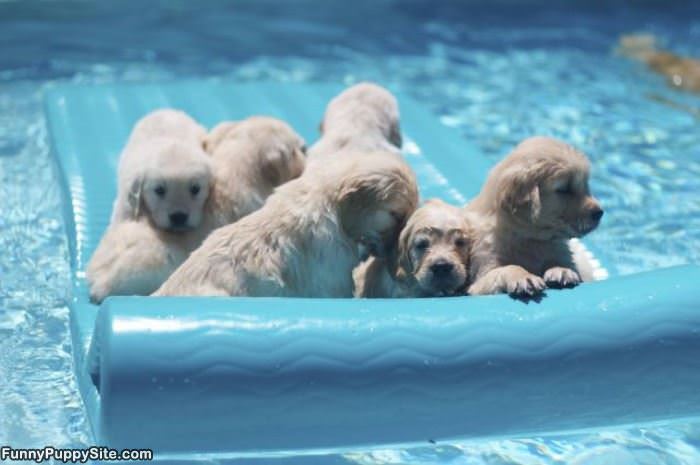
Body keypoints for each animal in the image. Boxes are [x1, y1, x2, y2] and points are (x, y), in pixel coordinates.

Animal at [464, 136, 600, 300]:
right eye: (564, 189)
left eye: (585, 185)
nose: (600, 212)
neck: (529, 239)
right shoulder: (482, 275)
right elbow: (508, 267)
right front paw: (523, 277)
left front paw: (561, 270)